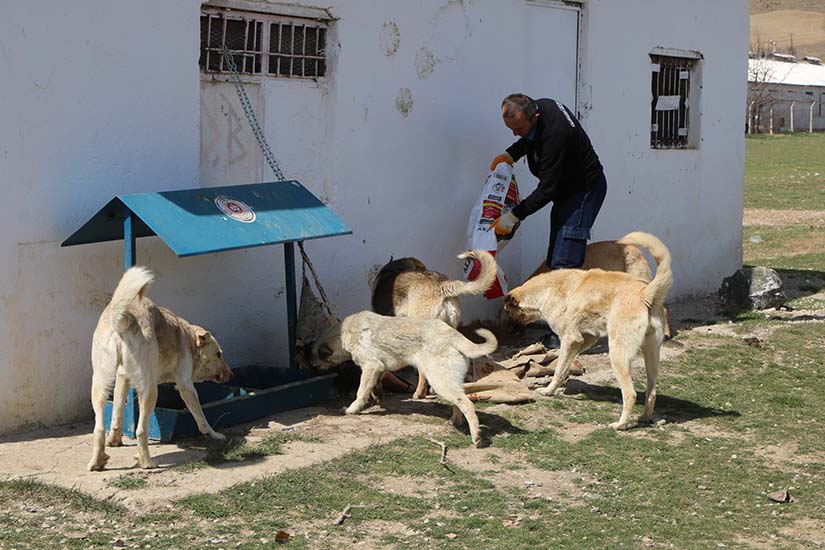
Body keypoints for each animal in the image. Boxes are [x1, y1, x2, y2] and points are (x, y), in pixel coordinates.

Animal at [89, 268, 232, 474]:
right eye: (219, 354)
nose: (232, 374)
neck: (187, 337)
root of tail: (125, 316)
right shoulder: (186, 386)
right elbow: (201, 418)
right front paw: (214, 435)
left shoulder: (123, 377)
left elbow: (117, 413)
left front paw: (115, 440)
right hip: (150, 391)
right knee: (141, 430)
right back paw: (147, 462)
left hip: (99, 386)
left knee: (99, 428)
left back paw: (97, 461)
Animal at [308, 312, 496, 446]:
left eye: (314, 364)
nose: (308, 369)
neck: (344, 334)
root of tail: (454, 335)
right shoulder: (379, 370)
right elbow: (375, 387)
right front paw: (376, 399)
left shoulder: (371, 366)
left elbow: (361, 392)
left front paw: (352, 409)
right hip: (448, 383)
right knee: (459, 401)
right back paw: (455, 421)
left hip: (439, 382)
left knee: (467, 403)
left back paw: (476, 436)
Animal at [506, 233, 672, 432]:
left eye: (507, 312)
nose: (509, 333)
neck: (547, 290)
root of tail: (645, 294)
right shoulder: (585, 339)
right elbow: (564, 367)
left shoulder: (569, 339)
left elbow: (559, 368)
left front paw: (548, 391)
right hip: (651, 356)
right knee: (652, 391)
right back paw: (645, 417)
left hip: (618, 355)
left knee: (630, 393)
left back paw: (621, 424)